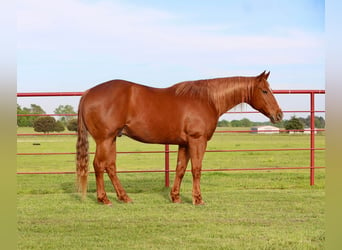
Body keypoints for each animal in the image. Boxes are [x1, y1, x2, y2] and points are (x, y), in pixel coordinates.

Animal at [77, 70, 284, 205]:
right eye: (265, 91)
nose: (279, 115)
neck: (207, 99)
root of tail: (88, 93)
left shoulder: (184, 144)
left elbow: (180, 169)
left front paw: (175, 197)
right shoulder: (197, 140)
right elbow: (196, 169)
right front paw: (198, 199)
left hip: (112, 139)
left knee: (110, 167)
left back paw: (124, 197)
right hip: (104, 139)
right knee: (99, 165)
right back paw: (104, 199)